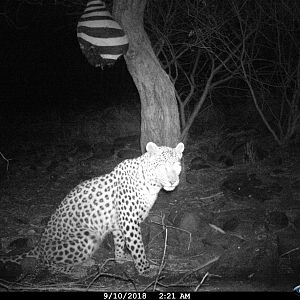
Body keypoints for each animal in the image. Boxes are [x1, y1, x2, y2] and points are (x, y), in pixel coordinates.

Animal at [0, 142, 184, 278]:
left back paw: (84, 263)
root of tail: (39, 246)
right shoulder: (129, 222)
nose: (173, 182)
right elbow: (137, 246)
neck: (151, 184)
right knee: (48, 264)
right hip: (86, 237)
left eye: (177, 166)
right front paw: (145, 269)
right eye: (163, 167)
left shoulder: (119, 222)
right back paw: (77, 270)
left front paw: (120, 258)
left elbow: (120, 241)